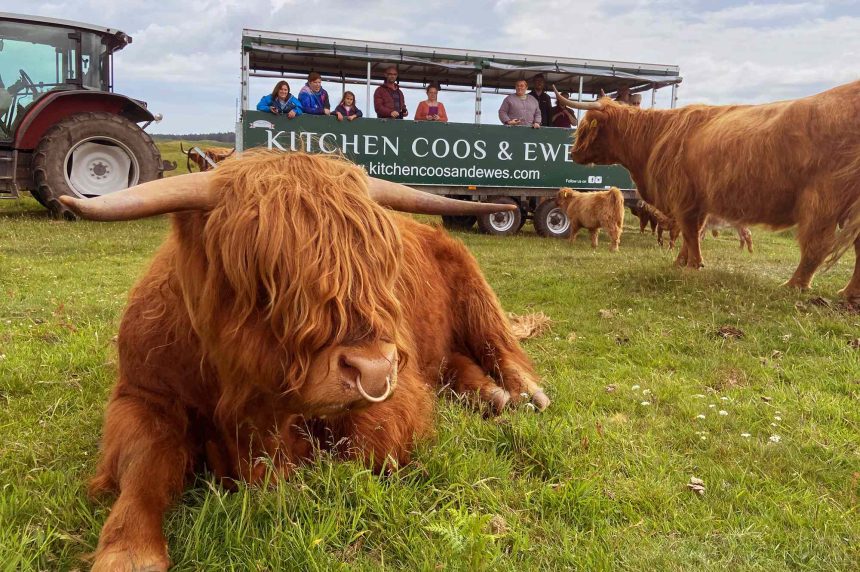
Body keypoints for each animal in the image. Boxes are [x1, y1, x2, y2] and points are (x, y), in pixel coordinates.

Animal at [58, 150, 549, 571]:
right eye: (266, 279)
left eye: (383, 271)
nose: (373, 370)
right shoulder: (141, 396)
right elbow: (144, 464)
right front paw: (129, 550)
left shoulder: (398, 391)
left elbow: (360, 451)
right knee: (457, 364)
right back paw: (492, 395)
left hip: (474, 288)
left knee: (498, 345)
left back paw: (523, 393)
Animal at [554, 82, 860, 303]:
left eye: (585, 127)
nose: (574, 153)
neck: (655, 137)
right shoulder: (697, 201)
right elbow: (691, 235)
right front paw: (682, 262)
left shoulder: (684, 197)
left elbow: (690, 233)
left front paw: (694, 265)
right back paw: (848, 293)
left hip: (822, 198)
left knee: (816, 245)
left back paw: (794, 285)